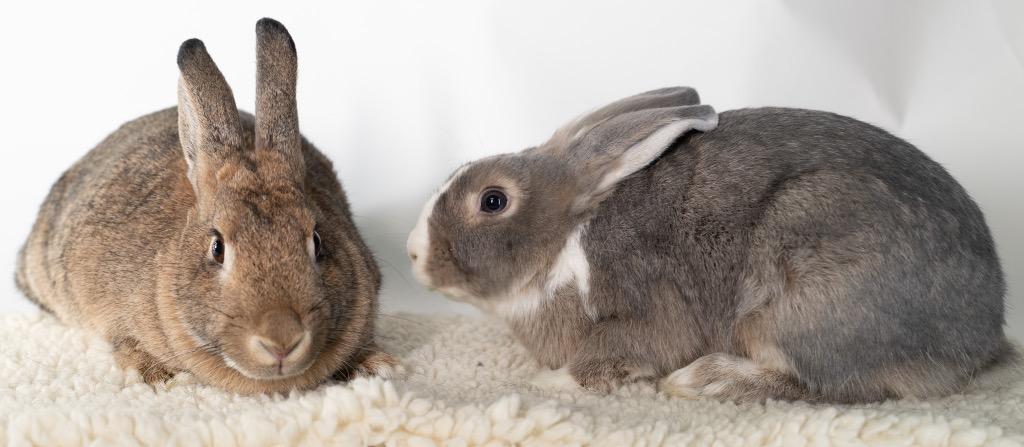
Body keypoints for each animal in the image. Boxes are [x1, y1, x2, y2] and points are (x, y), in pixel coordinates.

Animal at [14, 18, 396, 394]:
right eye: (217, 248)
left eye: (317, 242)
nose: (281, 341)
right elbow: (126, 345)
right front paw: (160, 378)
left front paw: (376, 367)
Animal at [406, 86, 1010, 403]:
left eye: (492, 201)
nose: (412, 252)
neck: (564, 239)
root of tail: (981, 338)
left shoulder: (642, 309)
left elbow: (607, 355)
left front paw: (547, 380)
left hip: (802, 307)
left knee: (817, 384)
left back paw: (704, 380)